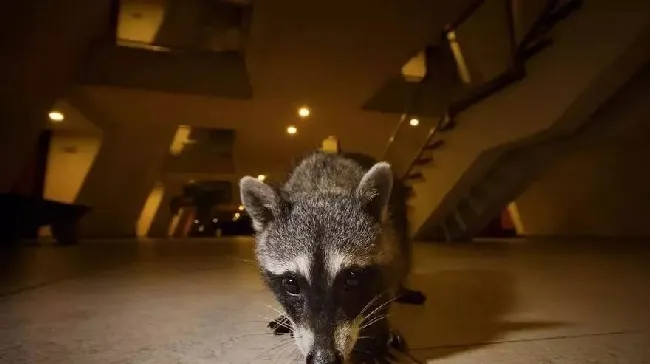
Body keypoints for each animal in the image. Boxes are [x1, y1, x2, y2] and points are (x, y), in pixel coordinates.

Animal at [240, 150, 418, 362]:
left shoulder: (390, 244)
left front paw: (376, 333)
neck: (322, 187)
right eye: (291, 283)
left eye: (352, 277)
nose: (323, 359)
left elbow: (386, 288)